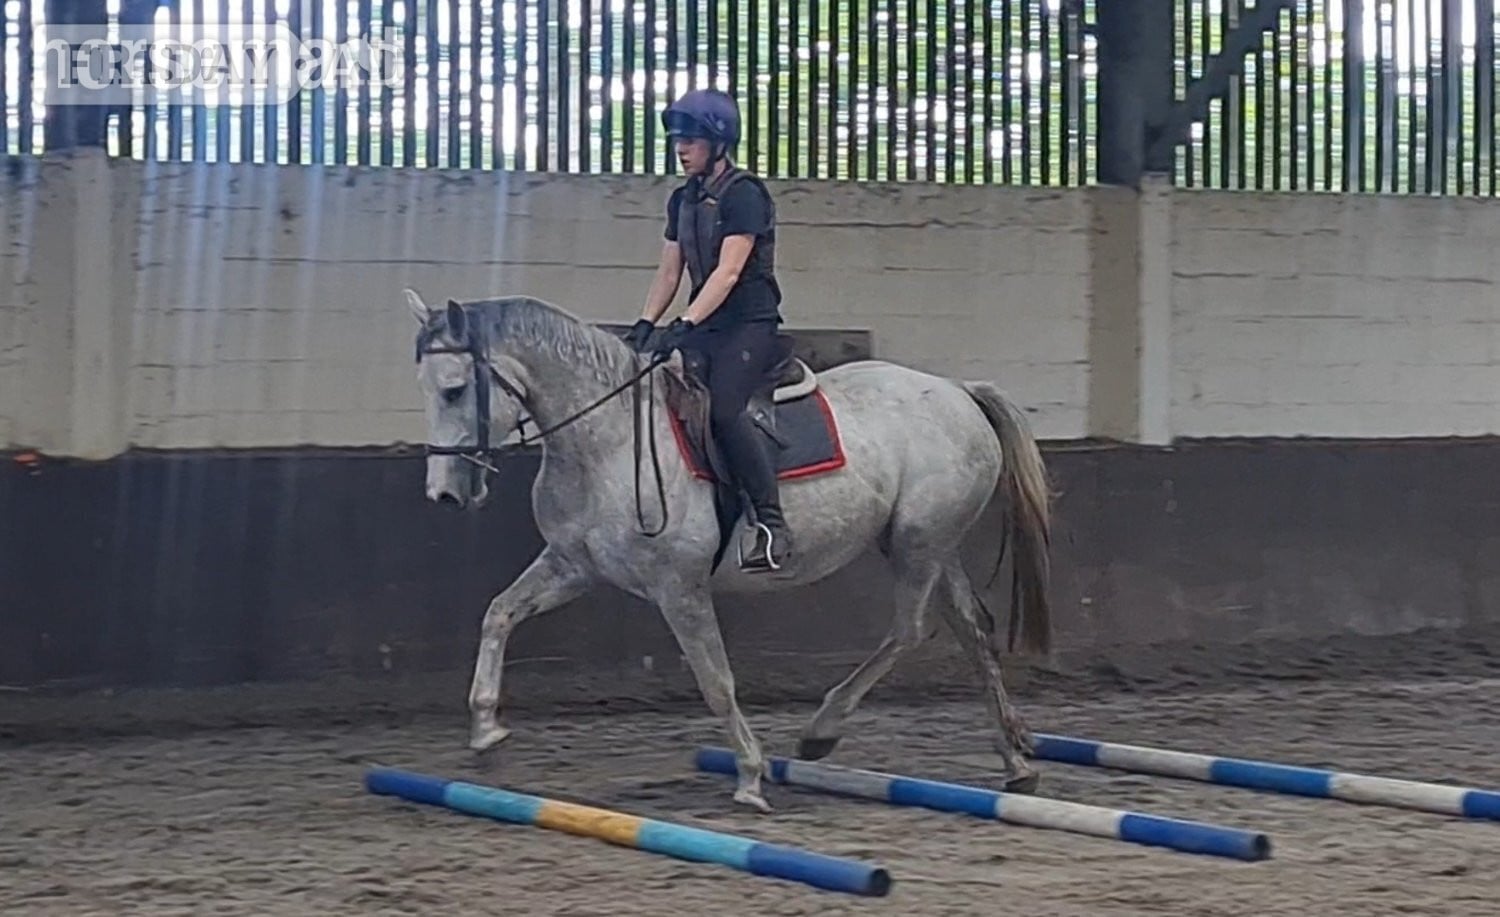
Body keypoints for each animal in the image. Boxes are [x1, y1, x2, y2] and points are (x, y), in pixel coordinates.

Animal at [404, 288, 1055, 813]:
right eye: (427, 391)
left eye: (456, 390)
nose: (443, 494)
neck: (607, 440)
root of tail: (959, 392)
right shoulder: (573, 567)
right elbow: (499, 613)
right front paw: (486, 731)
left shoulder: (679, 587)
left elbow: (716, 680)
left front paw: (749, 776)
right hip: (934, 545)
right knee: (972, 627)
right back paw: (1015, 759)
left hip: (917, 542)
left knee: (910, 629)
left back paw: (823, 730)